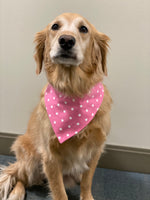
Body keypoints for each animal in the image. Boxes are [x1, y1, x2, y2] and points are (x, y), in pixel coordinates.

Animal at [0, 12, 112, 200]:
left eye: (83, 29)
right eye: (55, 26)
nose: (66, 40)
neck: (73, 91)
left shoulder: (95, 149)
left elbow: (87, 182)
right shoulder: (50, 156)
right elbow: (59, 191)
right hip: (29, 158)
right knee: (21, 177)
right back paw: (17, 193)